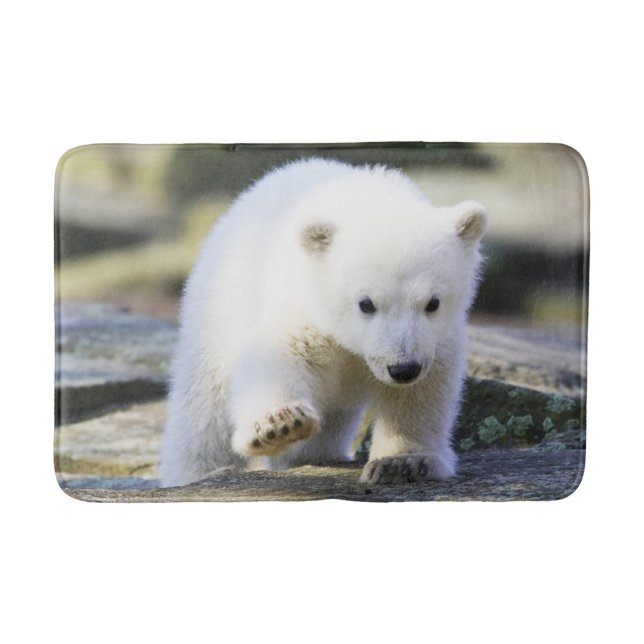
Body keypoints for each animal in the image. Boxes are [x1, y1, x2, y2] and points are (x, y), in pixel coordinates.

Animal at [159, 157, 487, 488]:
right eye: (366, 303)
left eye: (433, 303)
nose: (403, 368)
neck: (369, 199)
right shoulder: (307, 302)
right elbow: (279, 354)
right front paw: (279, 424)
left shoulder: (435, 340)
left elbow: (421, 393)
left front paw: (402, 462)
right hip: (219, 309)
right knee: (203, 410)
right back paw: (198, 472)